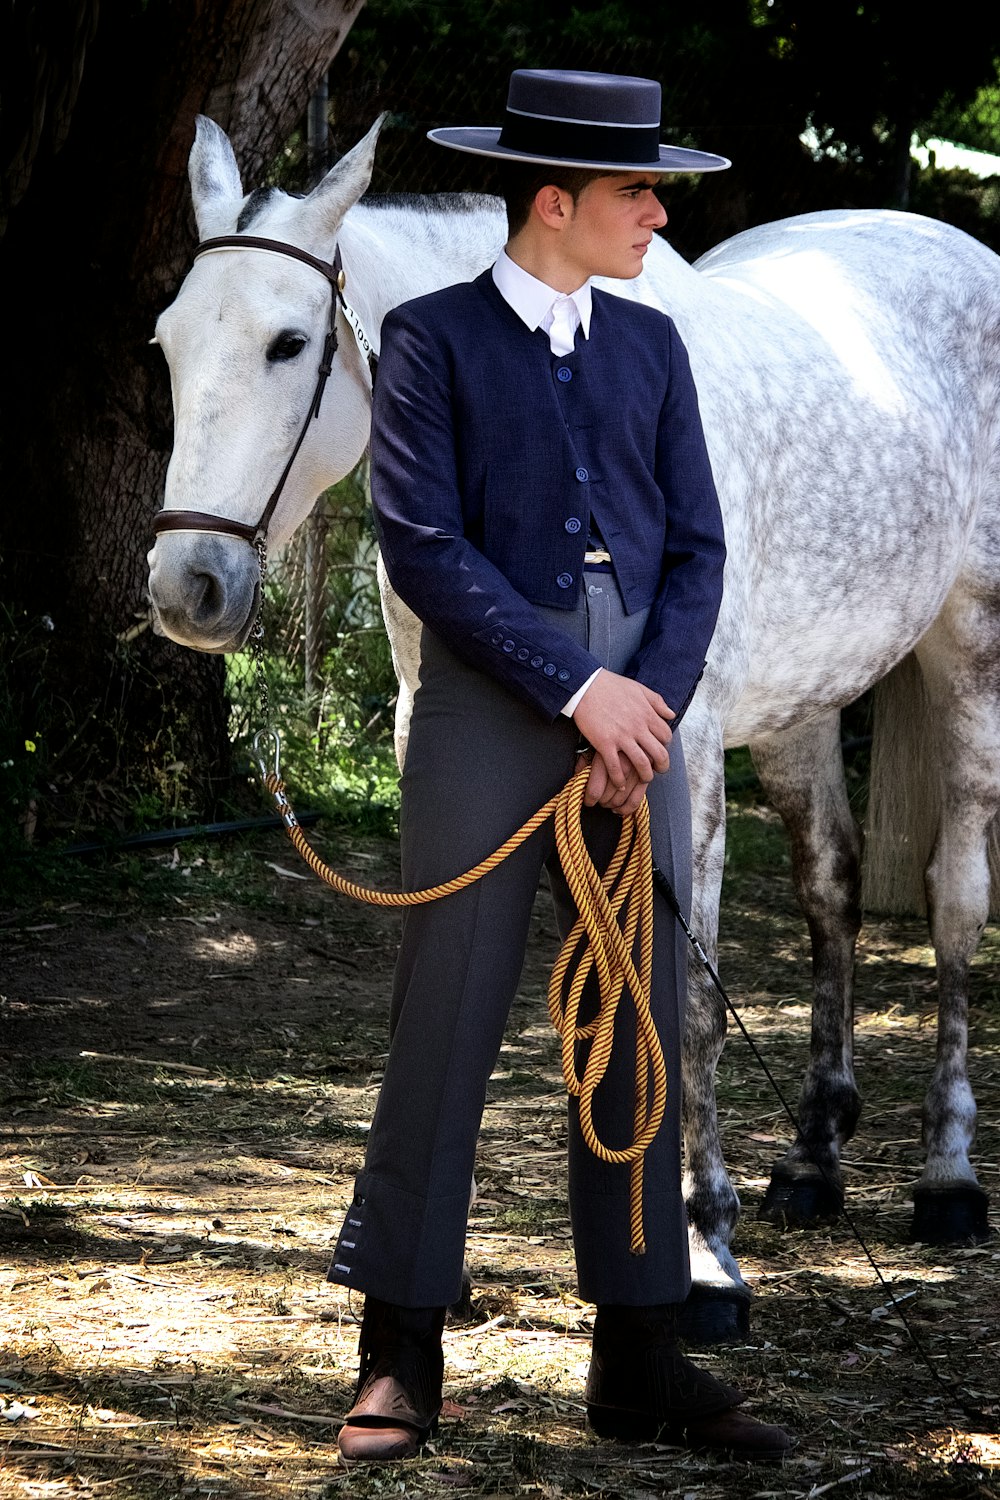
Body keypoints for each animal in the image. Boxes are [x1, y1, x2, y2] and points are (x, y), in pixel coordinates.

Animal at [144, 114, 995, 1338]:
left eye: (288, 343)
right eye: (168, 345)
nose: (188, 588)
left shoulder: (683, 765)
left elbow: (686, 1001)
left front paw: (703, 1259)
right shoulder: (449, 755)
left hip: (968, 650)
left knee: (955, 898)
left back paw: (948, 1176)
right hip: (806, 701)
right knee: (830, 884)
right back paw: (814, 1158)